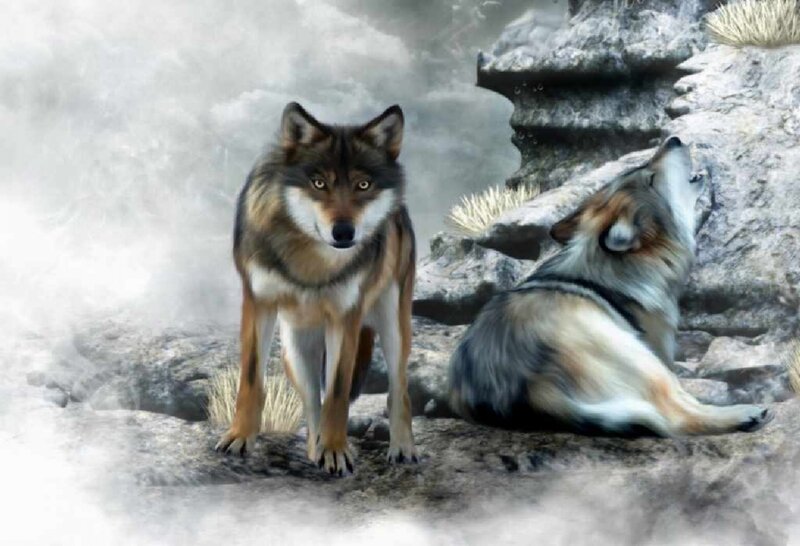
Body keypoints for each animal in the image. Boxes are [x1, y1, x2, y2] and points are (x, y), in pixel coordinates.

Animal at [215, 102, 417, 475]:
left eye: (363, 184)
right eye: (319, 183)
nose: (344, 232)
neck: (311, 262)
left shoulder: (346, 317)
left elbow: (337, 393)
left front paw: (336, 451)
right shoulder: (258, 302)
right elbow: (251, 379)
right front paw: (239, 438)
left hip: (394, 325)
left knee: (399, 389)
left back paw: (403, 449)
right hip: (295, 351)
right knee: (312, 402)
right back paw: (313, 451)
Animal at [449, 137, 773, 436]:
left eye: (638, 169)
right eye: (650, 178)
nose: (674, 139)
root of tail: (530, 388)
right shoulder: (660, 351)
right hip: (640, 356)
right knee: (676, 415)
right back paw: (743, 413)